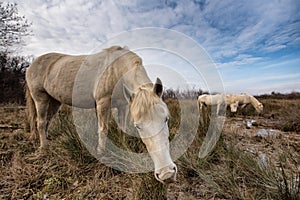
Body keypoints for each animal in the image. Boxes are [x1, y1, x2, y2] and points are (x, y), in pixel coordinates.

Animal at [25, 45, 177, 183]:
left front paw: (123, 149)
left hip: (54, 102)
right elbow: (103, 129)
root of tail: (31, 65)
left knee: (47, 121)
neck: (117, 69)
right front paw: (101, 153)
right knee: (40, 122)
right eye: (138, 126)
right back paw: (44, 148)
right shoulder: (103, 102)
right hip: (40, 98)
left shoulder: (123, 106)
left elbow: (122, 130)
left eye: (166, 119)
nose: (166, 174)